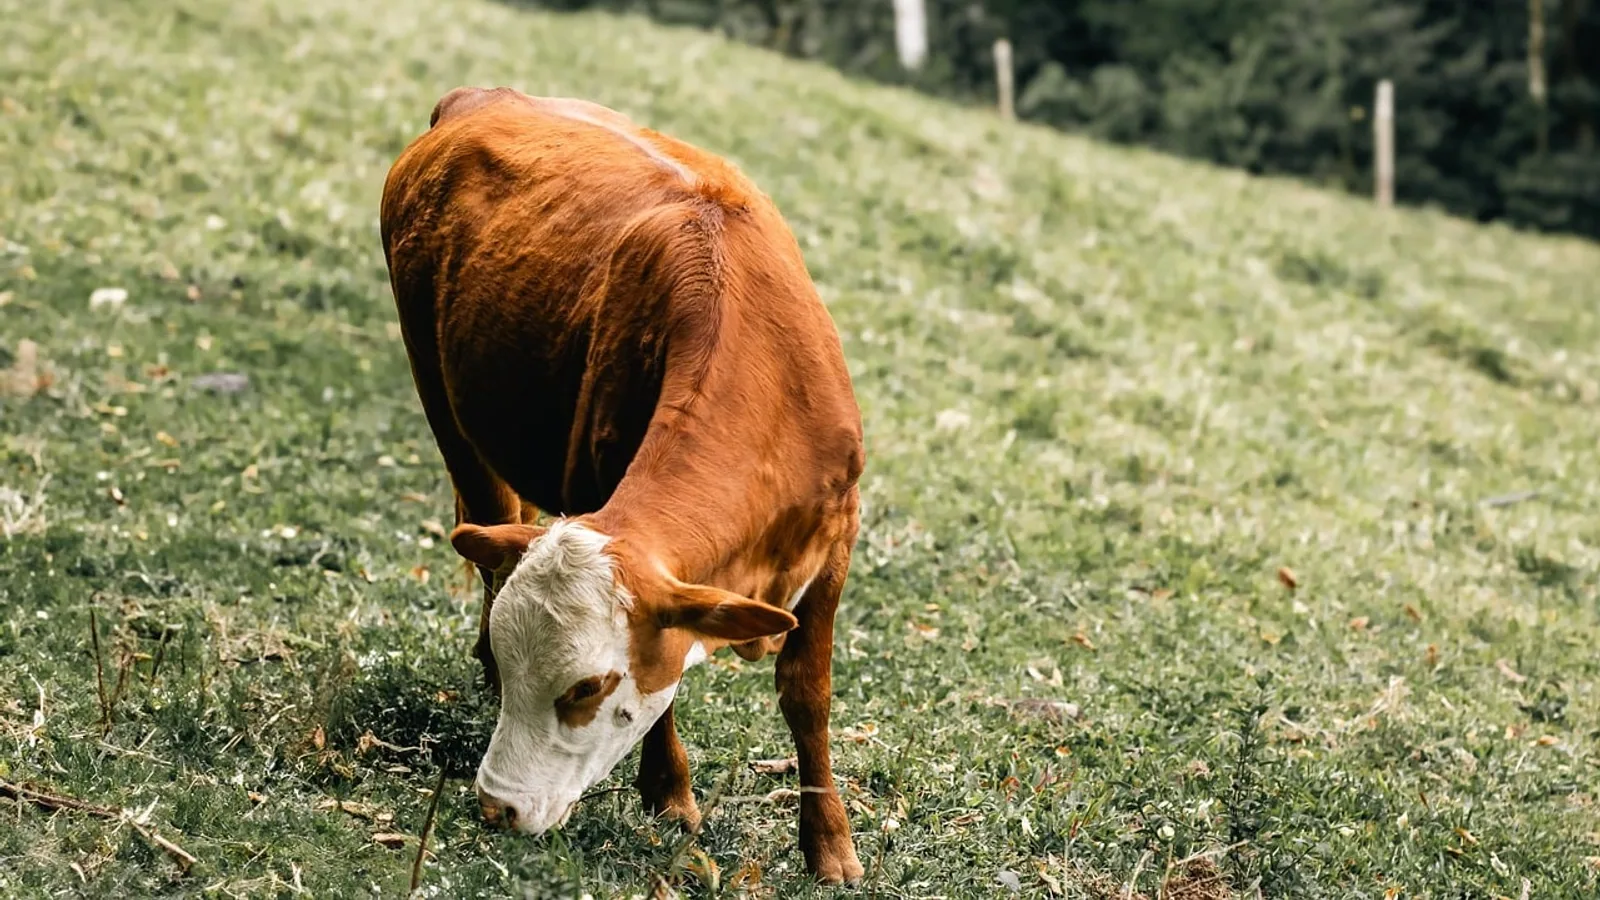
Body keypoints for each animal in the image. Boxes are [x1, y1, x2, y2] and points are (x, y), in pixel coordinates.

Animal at [378, 86, 867, 884]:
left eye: (585, 688)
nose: (496, 808)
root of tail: (481, 98)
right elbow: (667, 699)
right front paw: (669, 794)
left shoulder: (836, 542)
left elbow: (808, 695)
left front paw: (830, 846)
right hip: (438, 386)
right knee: (487, 519)